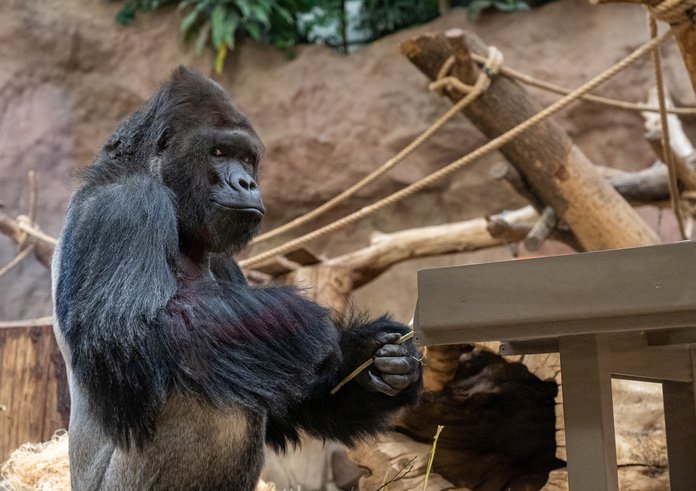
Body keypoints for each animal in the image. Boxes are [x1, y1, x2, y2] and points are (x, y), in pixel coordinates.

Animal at [51, 66, 422, 491]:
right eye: (217, 152)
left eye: (246, 158)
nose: (247, 183)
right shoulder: (124, 204)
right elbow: (131, 335)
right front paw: (295, 318)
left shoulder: (224, 258)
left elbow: (286, 397)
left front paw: (377, 359)